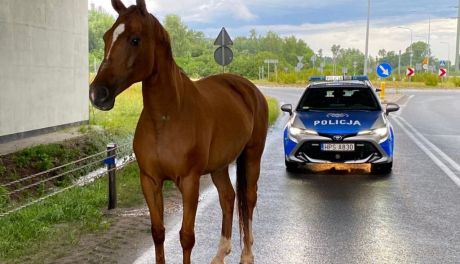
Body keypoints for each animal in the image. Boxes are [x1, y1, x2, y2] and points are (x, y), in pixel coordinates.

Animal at [89, 1, 270, 262]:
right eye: (106, 37)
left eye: (135, 39)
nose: (97, 93)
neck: (166, 118)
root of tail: (248, 88)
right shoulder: (150, 180)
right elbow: (157, 232)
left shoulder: (189, 182)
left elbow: (186, 236)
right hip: (219, 166)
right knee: (228, 198)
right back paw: (220, 253)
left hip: (252, 156)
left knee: (249, 198)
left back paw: (247, 254)